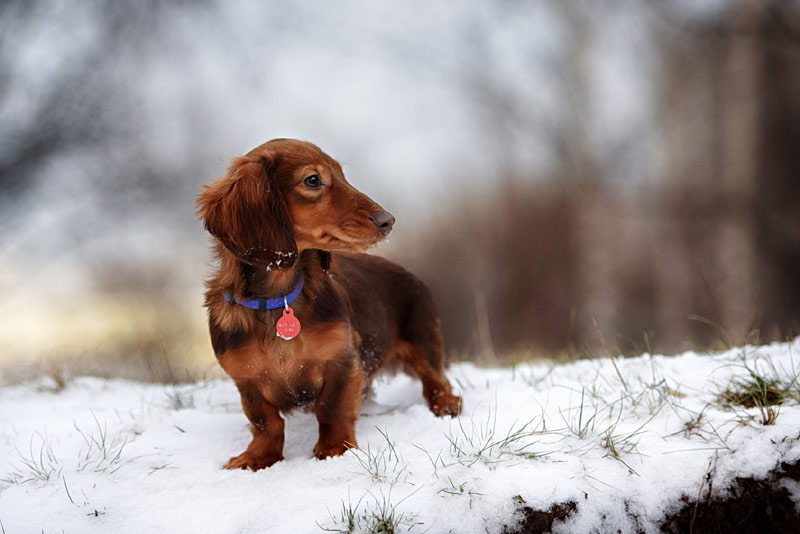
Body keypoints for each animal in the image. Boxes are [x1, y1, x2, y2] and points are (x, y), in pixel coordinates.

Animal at [197, 139, 462, 474]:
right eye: (313, 180)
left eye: (342, 175)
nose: (388, 220)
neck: (281, 297)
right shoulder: (247, 380)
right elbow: (265, 422)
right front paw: (257, 458)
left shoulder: (342, 361)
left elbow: (331, 408)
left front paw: (335, 450)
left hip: (423, 340)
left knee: (437, 380)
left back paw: (445, 405)